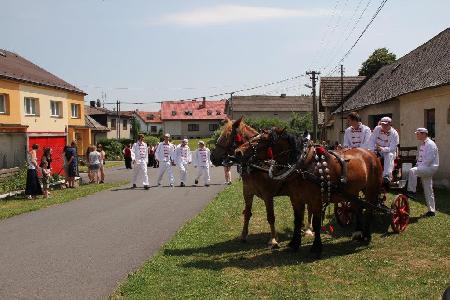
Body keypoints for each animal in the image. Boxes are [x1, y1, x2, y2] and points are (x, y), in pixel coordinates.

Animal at [211, 118, 296, 248]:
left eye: (226, 136)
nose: (212, 157)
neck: (256, 165)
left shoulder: (268, 195)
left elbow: (270, 216)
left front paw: (273, 239)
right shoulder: (247, 192)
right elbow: (247, 213)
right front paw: (243, 235)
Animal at [236, 127, 384, 256]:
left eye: (263, 140)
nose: (238, 152)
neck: (303, 165)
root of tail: (371, 153)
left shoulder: (316, 200)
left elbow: (317, 224)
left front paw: (316, 247)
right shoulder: (296, 199)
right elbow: (297, 220)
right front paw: (294, 243)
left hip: (371, 190)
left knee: (369, 210)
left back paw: (367, 235)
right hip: (353, 191)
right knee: (357, 207)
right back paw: (358, 233)